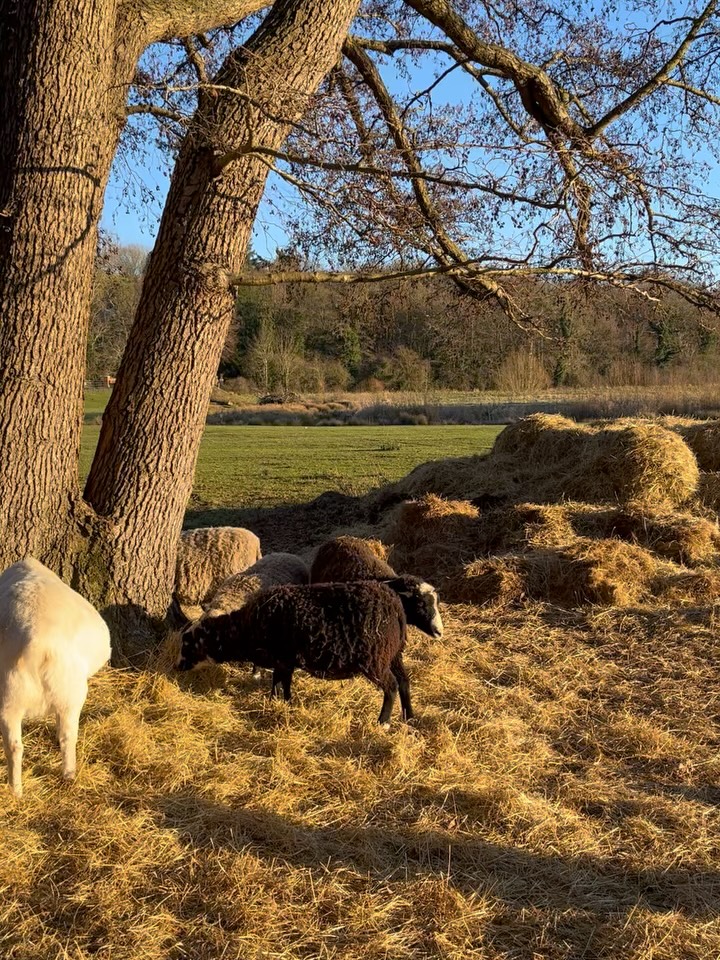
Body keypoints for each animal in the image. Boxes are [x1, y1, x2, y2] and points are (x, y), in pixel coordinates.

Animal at [0, 558, 111, 797]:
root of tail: (36, 645)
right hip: (69, 694)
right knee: (67, 736)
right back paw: (66, 776)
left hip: (12, 698)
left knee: (15, 746)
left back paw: (17, 791)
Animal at [176, 581, 413, 726]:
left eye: (188, 644)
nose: (177, 667)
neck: (244, 629)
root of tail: (395, 605)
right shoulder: (284, 661)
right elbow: (281, 681)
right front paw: (280, 702)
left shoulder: (282, 658)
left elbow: (280, 681)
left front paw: (279, 702)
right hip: (394, 654)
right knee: (404, 681)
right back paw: (408, 717)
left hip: (376, 659)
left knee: (391, 686)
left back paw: (383, 722)